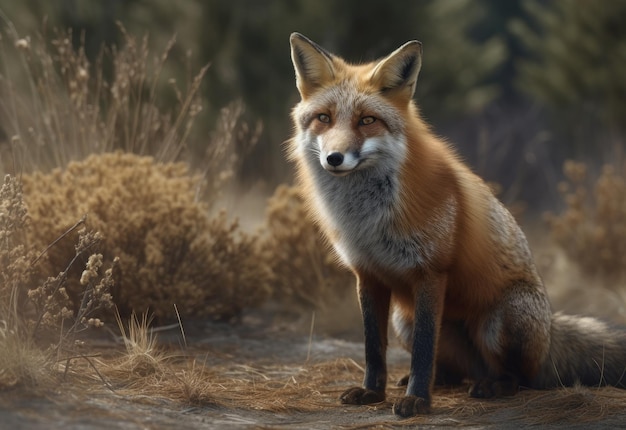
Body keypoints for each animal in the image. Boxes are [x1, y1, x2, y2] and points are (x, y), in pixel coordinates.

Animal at [286, 32, 624, 416]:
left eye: (367, 120)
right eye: (324, 118)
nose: (334, 158)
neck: (367, 219)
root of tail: (551, 332)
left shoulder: (430, 272)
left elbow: (423, 351)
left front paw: (417, 400)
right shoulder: (368, 275)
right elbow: (374, 348)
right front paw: (373, 391)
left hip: (500, 322)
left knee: (518, 378)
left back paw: (493, 385)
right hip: (404, 318)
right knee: (453, 369)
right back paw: (445, 380)